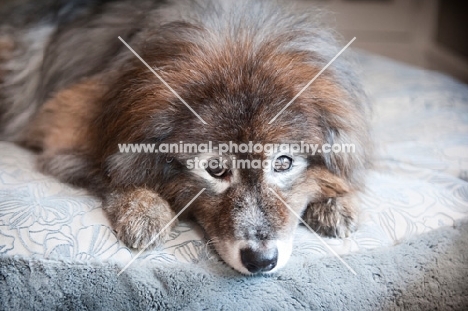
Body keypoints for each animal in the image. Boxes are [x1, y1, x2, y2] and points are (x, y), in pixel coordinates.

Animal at [1, 0, 372, 274]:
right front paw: (144, 208)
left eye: (283, 163)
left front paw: (338, 200)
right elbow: (111, 169)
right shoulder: (67, 126)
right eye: (215, 169)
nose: (261, 261)